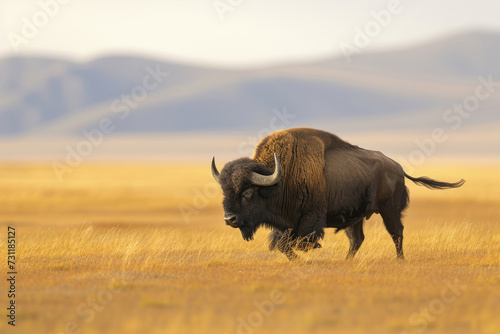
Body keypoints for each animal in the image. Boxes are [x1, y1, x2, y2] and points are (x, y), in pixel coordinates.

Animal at [211, 126, 464, 260]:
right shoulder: (286, 224)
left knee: (396, 233)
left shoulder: (310, 218)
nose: (229, 219)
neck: (279, 179)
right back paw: (347, 261)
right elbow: (282, 244)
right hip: (358, 217)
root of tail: (398, 168)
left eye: (247, 192)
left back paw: (400, 260)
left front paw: (309, 250)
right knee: (357, 239)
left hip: (388, 210)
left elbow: (296, 241)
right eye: (224, 190)